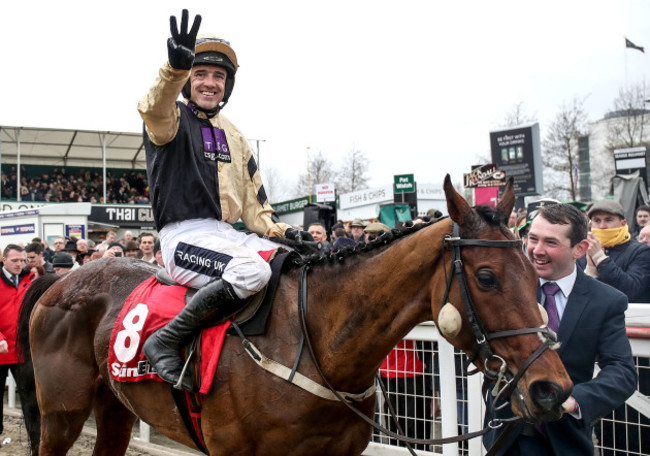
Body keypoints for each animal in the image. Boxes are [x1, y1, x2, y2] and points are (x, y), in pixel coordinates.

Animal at [27, 177, 568, 456]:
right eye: (487, 277)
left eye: (534, 267)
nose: (551, 388)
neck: (317, 345)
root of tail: (59, 281)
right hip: (62, 411)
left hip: (115, 405)